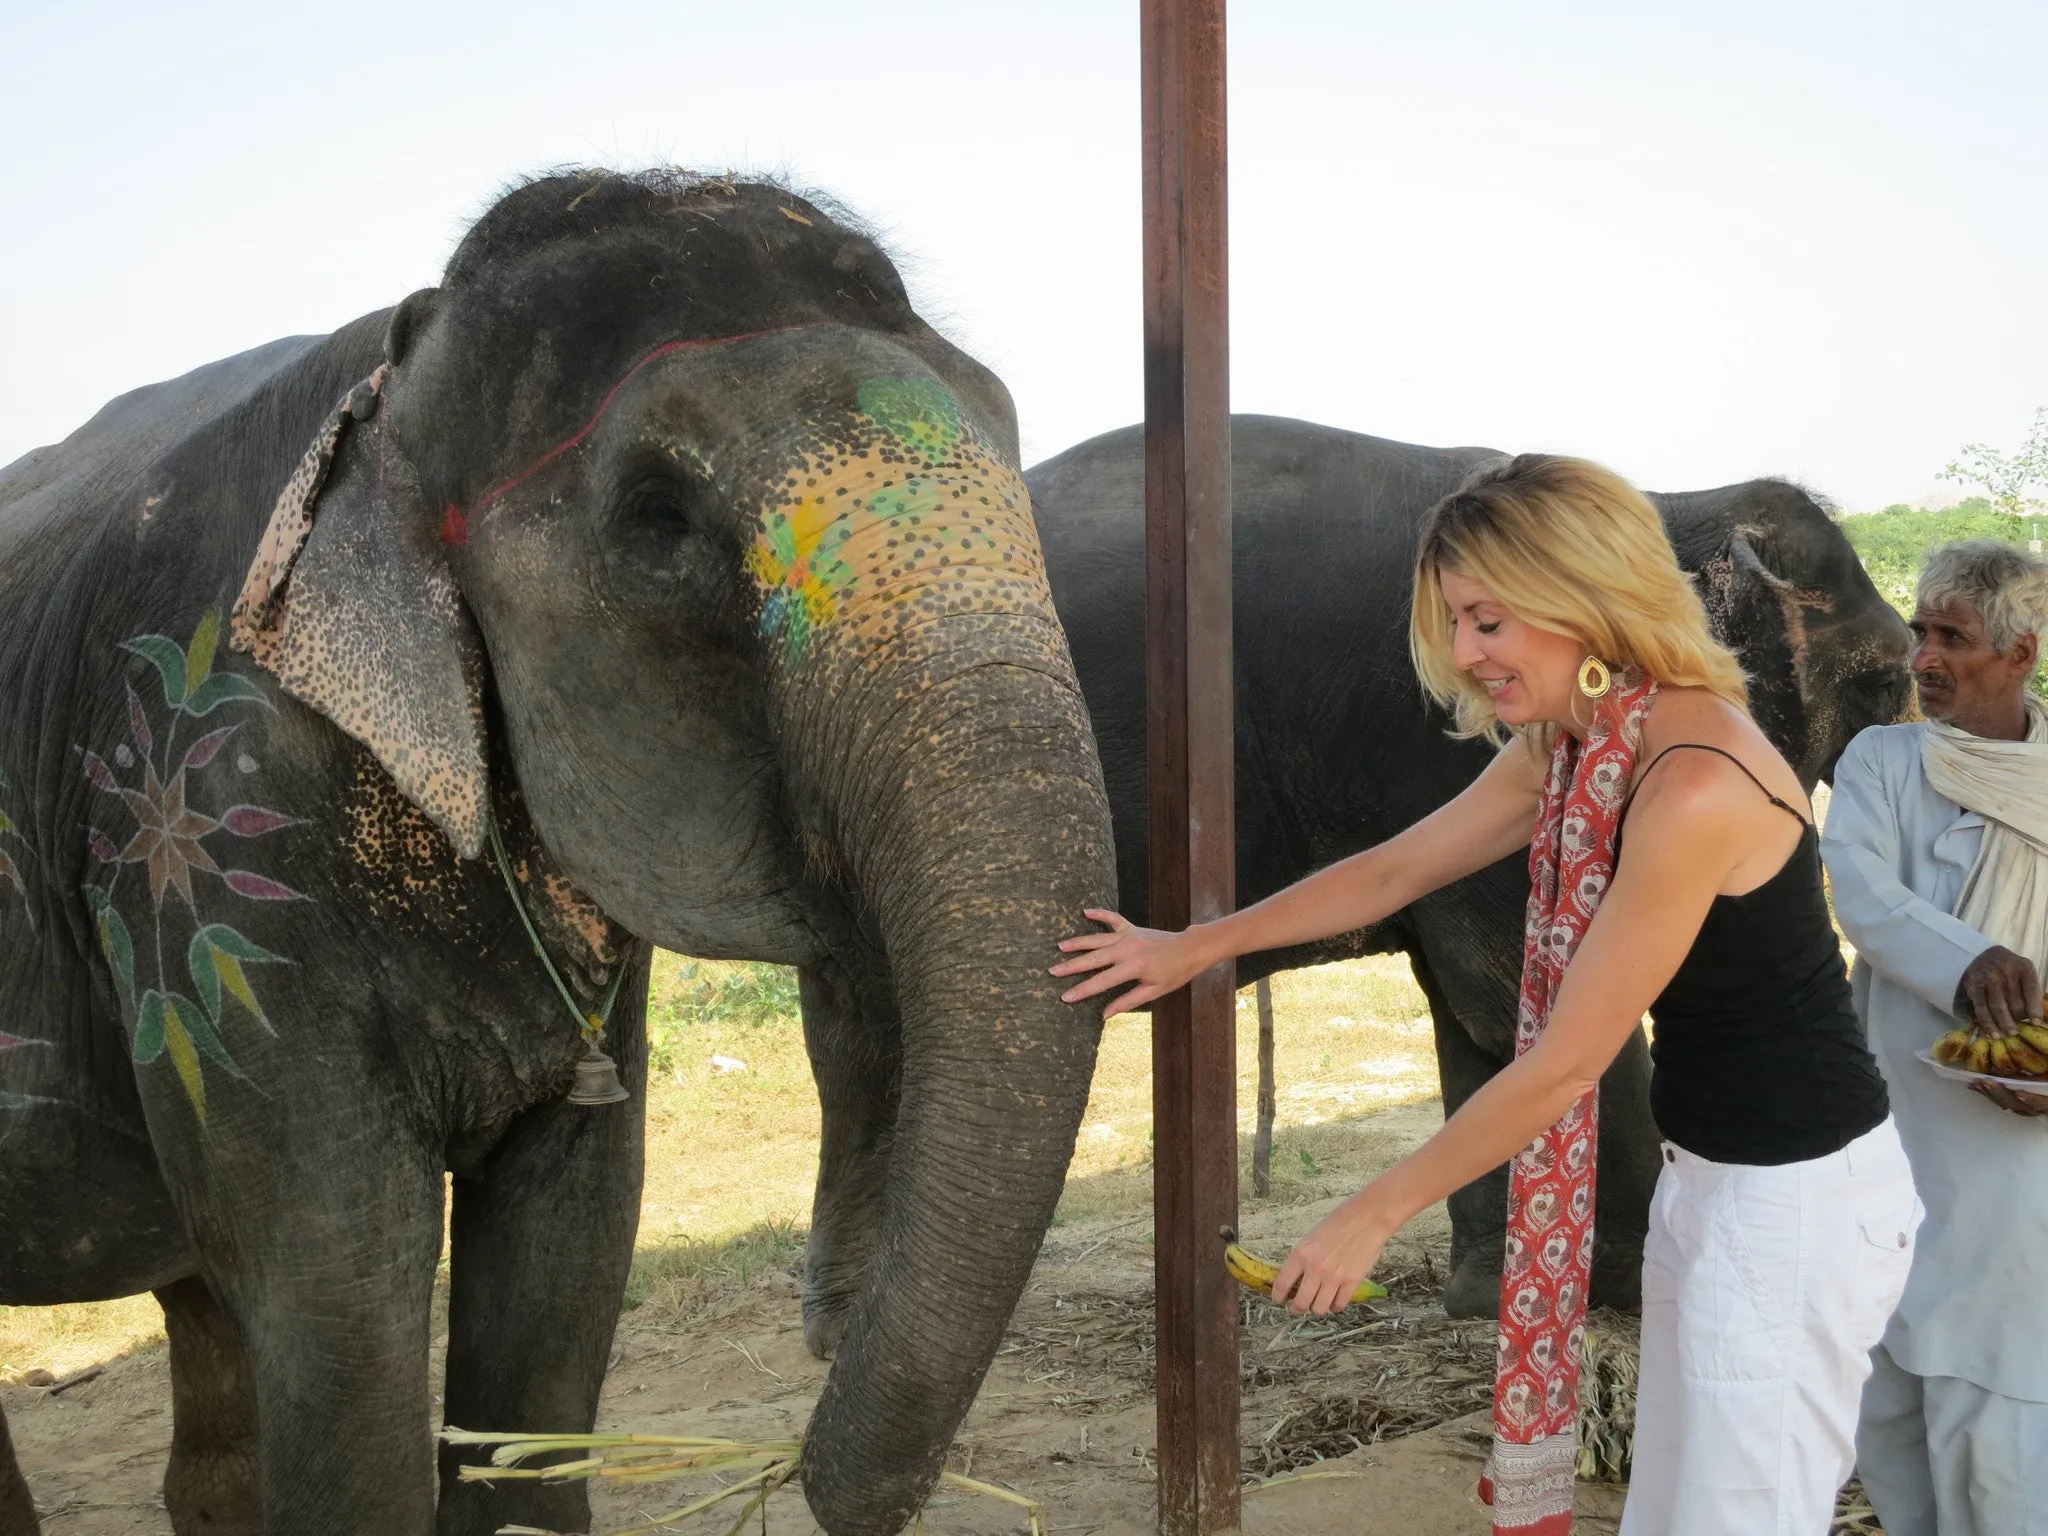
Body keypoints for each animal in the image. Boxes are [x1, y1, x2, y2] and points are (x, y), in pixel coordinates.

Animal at [0, 171, 1114, 1536]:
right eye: (657, 519)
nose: (800, 1461)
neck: (395, 376)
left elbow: (570, 1244)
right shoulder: (198, 848)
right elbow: (336, 1290)